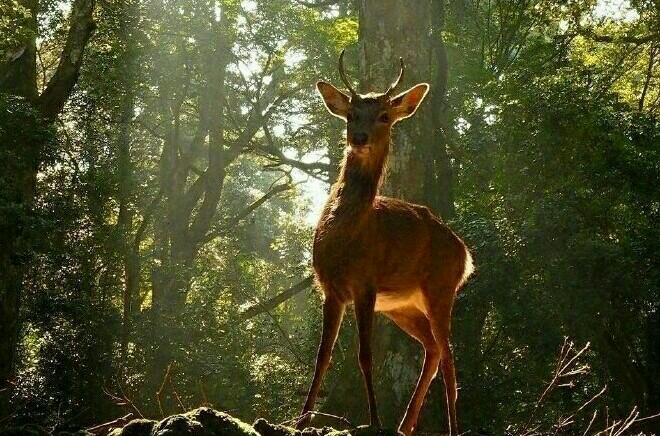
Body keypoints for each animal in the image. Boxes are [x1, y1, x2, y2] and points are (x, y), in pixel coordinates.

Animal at [300, 49, 474, 436]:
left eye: (383, 116)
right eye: (351, 114)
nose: (360, 137)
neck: (346, 237)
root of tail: (466, 254)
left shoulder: (365, 283)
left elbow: (365, 355)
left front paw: (374, 420)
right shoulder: (330, 287)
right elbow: (322, 356)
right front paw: (300, 419)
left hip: (441, 288)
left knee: (450, 358)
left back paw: (449, 427)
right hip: (402, 305)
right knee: (433, 349)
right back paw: (405, 425)